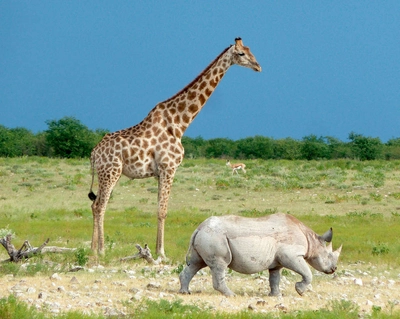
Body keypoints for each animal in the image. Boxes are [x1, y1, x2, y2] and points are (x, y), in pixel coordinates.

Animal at [88, 37, 260, 258]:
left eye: (250, 50)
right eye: (241, 54)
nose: (258, 66)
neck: (179, 124)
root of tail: (94, 153)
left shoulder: (160, 172)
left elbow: (160, 209)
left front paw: (156, 250)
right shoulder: (169, 167)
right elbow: (163, 211)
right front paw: (161, 253)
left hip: (108, 174)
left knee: (94, 204)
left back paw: (92, 248)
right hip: (110, 171)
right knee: (100, 206)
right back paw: (101, 250)